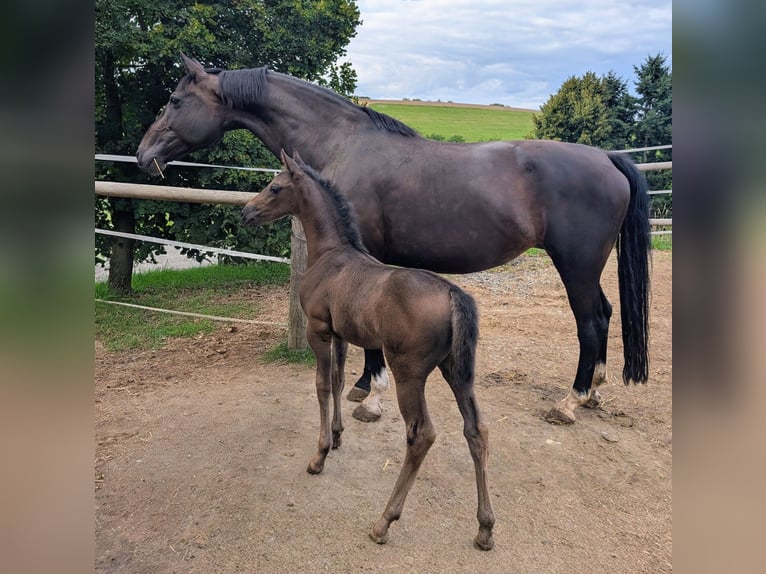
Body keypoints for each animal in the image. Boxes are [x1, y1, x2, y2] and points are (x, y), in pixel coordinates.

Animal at [137, 54, 651, 425]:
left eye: (175, 101)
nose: (143, 155)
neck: (344, 142)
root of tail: (606, 157)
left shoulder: (365, 256)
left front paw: (370, 395)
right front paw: (364, 386)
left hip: (576, 265)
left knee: (590, 322)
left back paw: (571, 400)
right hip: (587, 267)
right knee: (606, 313)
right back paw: (593, 392)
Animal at [241, 149, 495, 549]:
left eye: (275, 187)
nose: (246, 212)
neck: (331, 255)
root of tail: (453, 293)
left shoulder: (317, 331)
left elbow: (321, 385)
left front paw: (320, 455)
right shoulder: (341, 335)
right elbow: (339, 380)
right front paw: (338, 436)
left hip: (409, 374)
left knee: (422, 435)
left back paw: (384, 521)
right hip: (456, 371)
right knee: (476, 430)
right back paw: (485, 527)